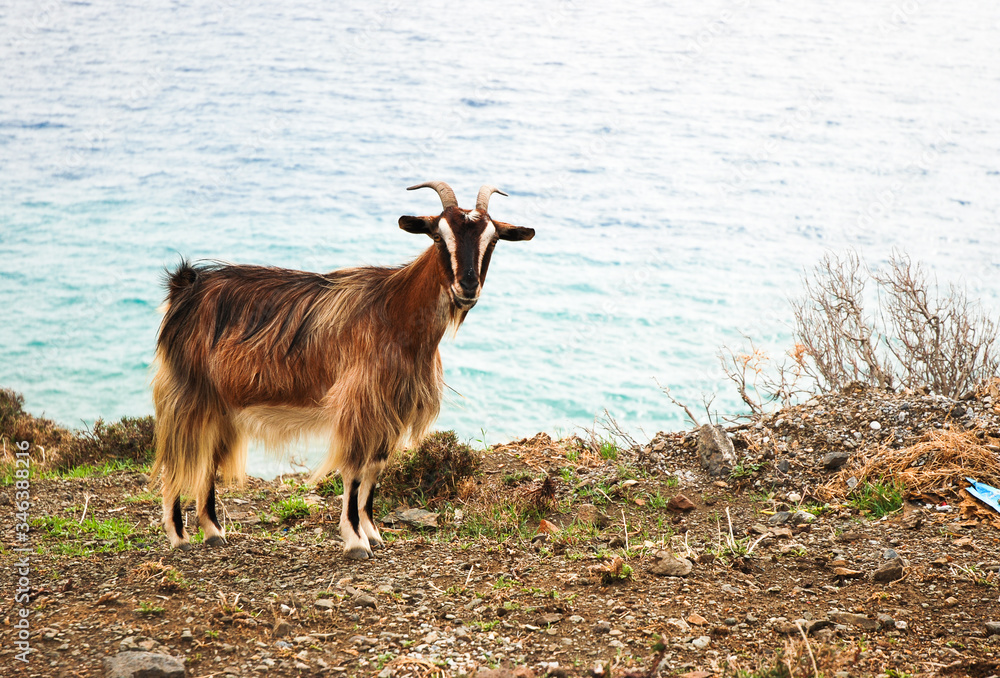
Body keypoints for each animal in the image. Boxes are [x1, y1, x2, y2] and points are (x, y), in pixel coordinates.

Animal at [151, 181, 534, 558]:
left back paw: (213, 532)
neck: (395, 312)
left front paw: (373, 533)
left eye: (493, 240)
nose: (467, 287)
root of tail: (186, 286)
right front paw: (355, 540)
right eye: (438, 237)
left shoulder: (390, 408)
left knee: (206, 461)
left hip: (221, 404)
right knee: (176, 457)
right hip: (188, 390)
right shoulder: (360, 403)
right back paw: (179, 536)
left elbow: (374, 469)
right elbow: (354, 471)